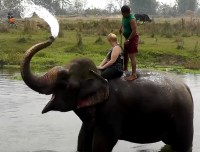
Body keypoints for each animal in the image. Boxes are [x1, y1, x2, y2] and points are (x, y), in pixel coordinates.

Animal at [20, 36, 194, 151]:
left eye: (64, 81)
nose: (51, 37)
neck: (97, 75)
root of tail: (187, 87)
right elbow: (82, 141)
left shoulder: (111, 111)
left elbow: (102, 144)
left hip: (183, 117)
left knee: (183, 145)